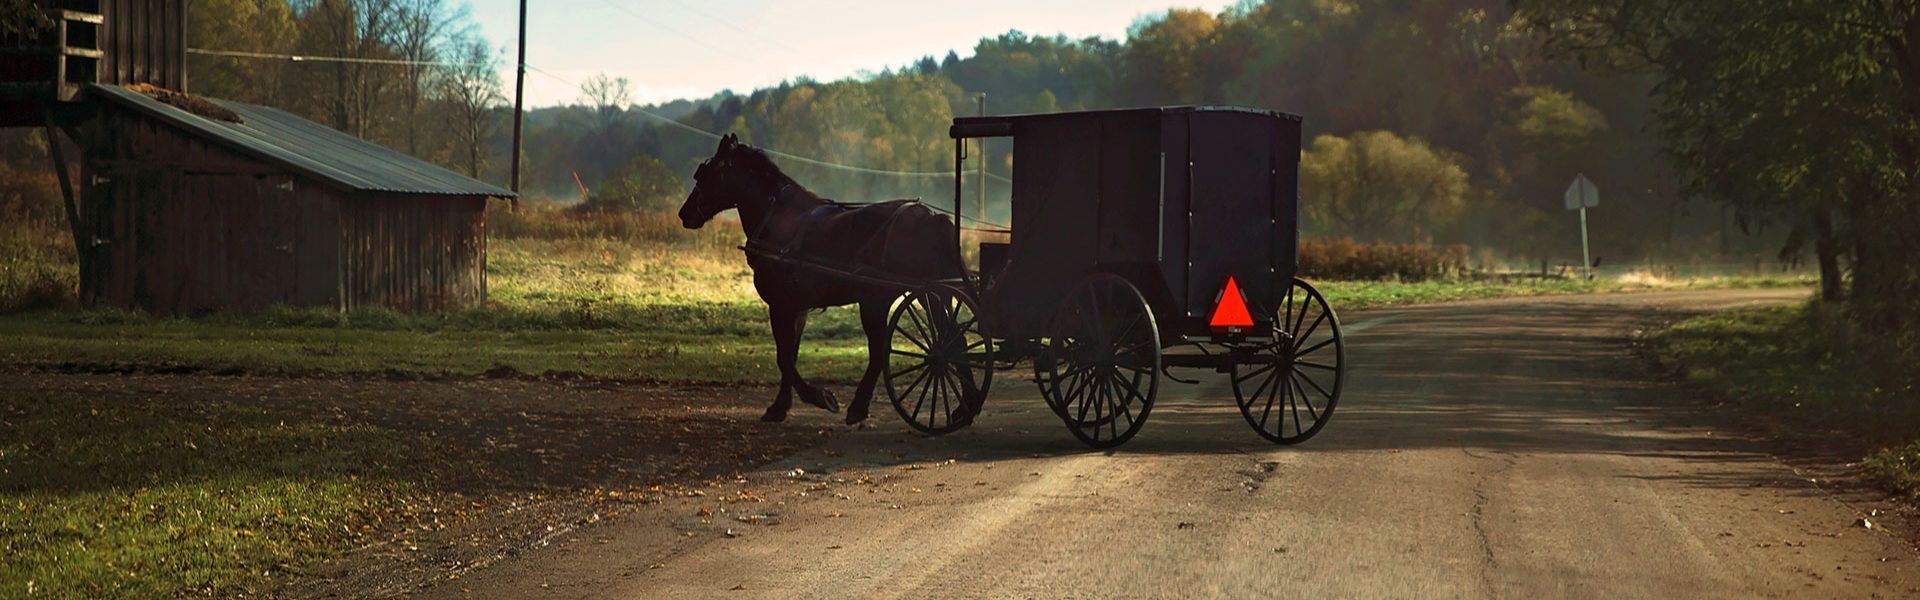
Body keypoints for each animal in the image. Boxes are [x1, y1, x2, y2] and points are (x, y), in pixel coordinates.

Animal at [678, 133, 964, 424]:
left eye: (706, 173)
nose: (684, 214)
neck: (776, 217)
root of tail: (930, 218)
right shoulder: (797, 308)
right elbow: (790, 355)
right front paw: (780, 406)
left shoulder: (780, 305)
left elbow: (784, 358)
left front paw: (818, 397)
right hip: (931, 294)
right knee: (953, 340)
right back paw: (963, 407)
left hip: (876, 301)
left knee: (879, 352)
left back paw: (859, 407)